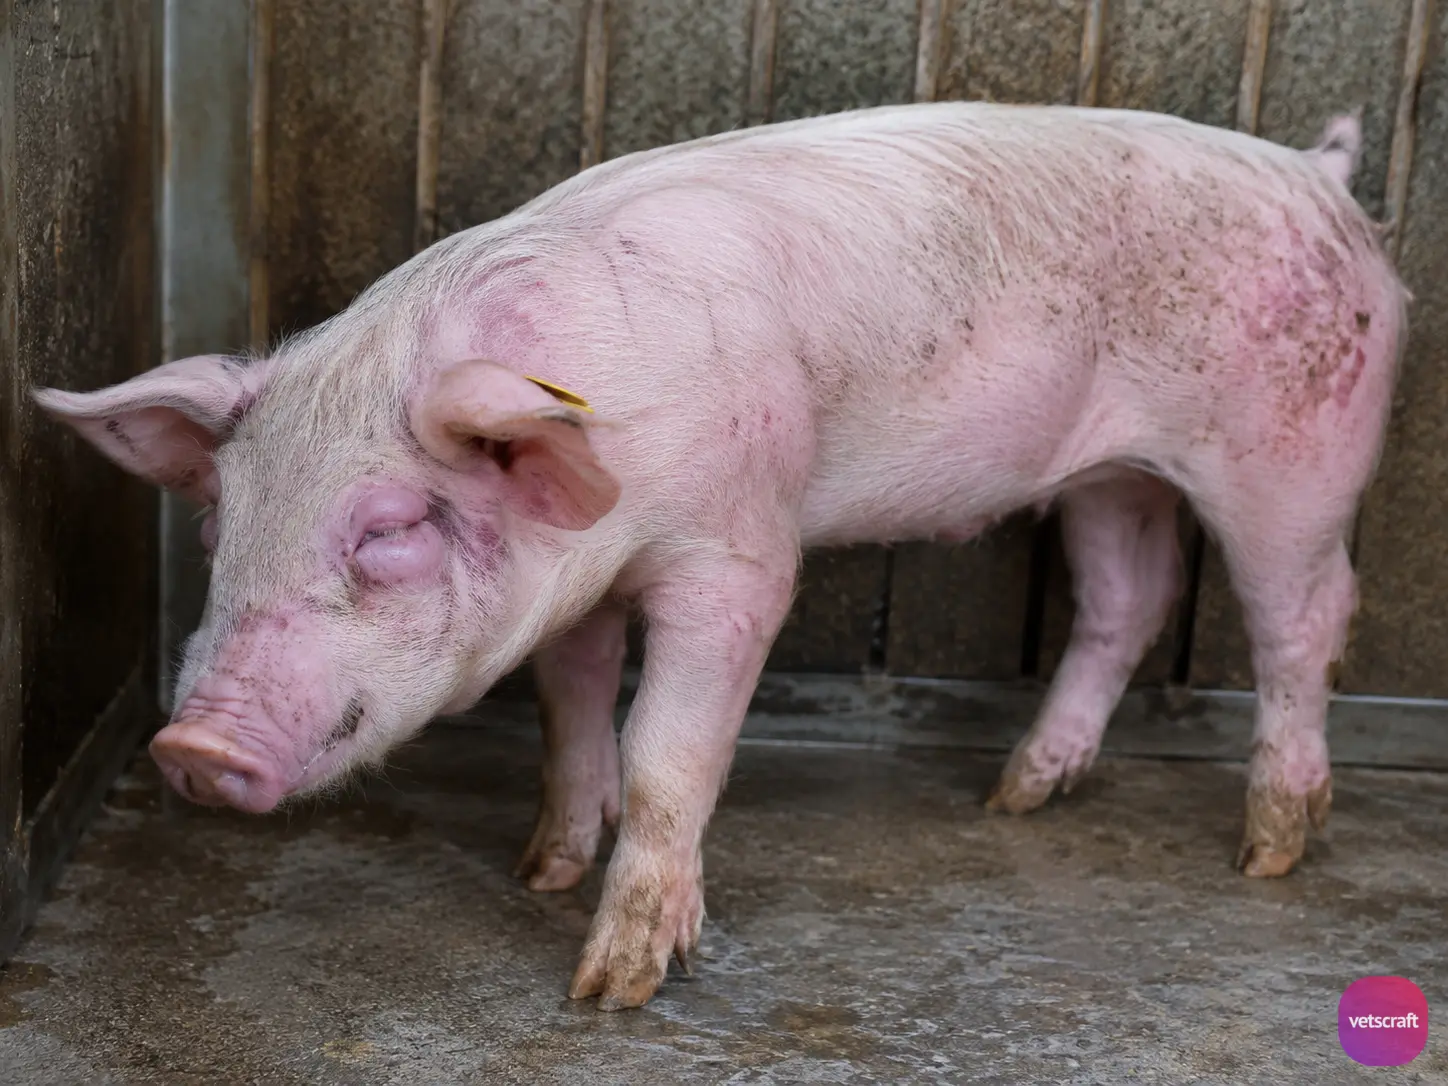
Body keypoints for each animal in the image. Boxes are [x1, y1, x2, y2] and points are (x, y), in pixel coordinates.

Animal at [34, 101, 1407, 1010]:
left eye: (387, 530)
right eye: (216, 525)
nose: (192, 747)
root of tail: (1321, 173)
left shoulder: (737, 550)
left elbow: (665, 748)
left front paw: (612, 986)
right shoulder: (575, 584)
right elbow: (572, 710)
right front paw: (543, 871)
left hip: (1293, 455)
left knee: (1304, 614)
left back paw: (1268, 850)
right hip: (1108, 474)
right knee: (1128, 596)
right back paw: (1014, 795)